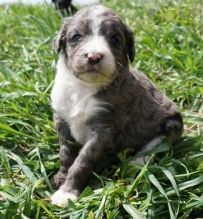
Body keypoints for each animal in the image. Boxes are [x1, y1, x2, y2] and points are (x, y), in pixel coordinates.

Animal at [50, 5, 183, 207]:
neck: (83, 87)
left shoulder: (104, 129)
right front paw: (62, 176)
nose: (94, 56)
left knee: (157, 145)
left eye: (114, 39)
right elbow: (66, 153)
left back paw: (136, 162)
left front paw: (67, 192)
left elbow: (83, 161)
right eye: (75, 37)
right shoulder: (62, 119)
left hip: (172, 124)